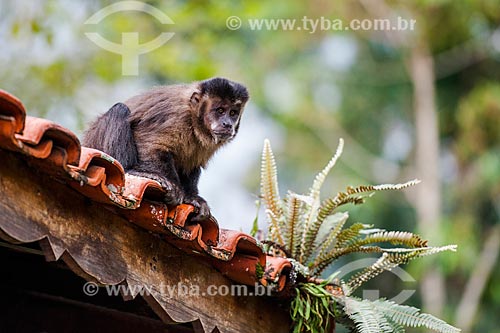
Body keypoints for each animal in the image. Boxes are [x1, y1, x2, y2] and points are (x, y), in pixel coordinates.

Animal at [84, 76, 254, 219]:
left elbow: (191, 165)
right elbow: (150, 143)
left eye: (233, 113)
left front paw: (192, 197)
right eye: (220, 110)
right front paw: (174, 186)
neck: (193, 118)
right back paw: (131, 170)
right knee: (119, 110)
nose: (227, 124)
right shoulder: (177, 116)